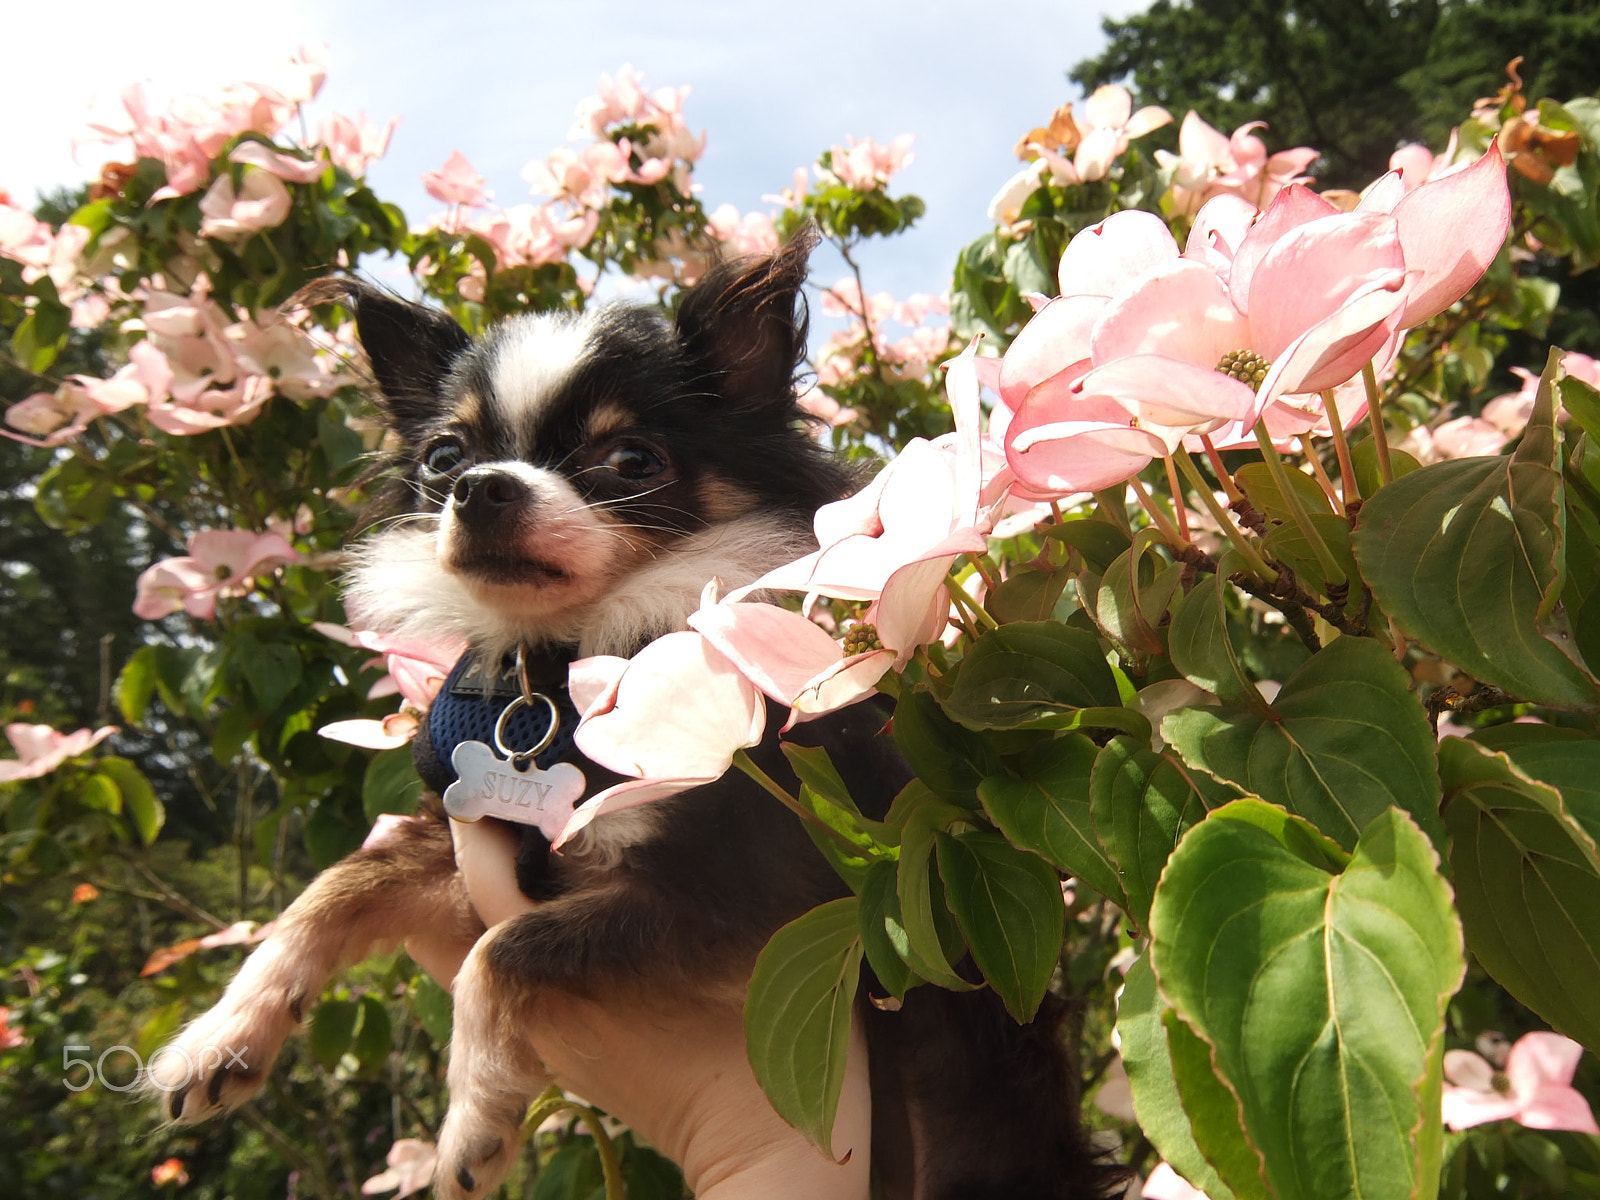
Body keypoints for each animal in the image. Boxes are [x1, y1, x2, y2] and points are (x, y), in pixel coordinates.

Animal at [150, 232, 1126, 1200]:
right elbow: (335, 887)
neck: (551, 674)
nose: (482, 487)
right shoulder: (465, 830)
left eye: (630, 462)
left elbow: (499, 951)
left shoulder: (744, 903)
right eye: (442, 459)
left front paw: (473, 1124)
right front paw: (223, 1036)